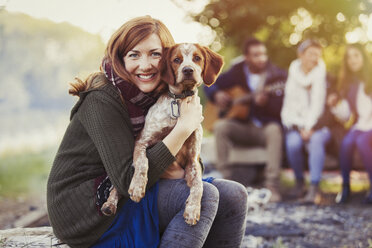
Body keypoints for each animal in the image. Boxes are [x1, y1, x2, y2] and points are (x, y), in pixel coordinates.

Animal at [100, 43, 224, 226]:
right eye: (177, 60)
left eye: (197, 58)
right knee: (115, 186)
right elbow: (143, 163)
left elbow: (198, 186)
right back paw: (109, 204)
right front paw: (137, 187)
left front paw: (193, 210)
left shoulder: (192, 159)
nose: (188, 70)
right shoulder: (141, 141)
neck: (179, 101)